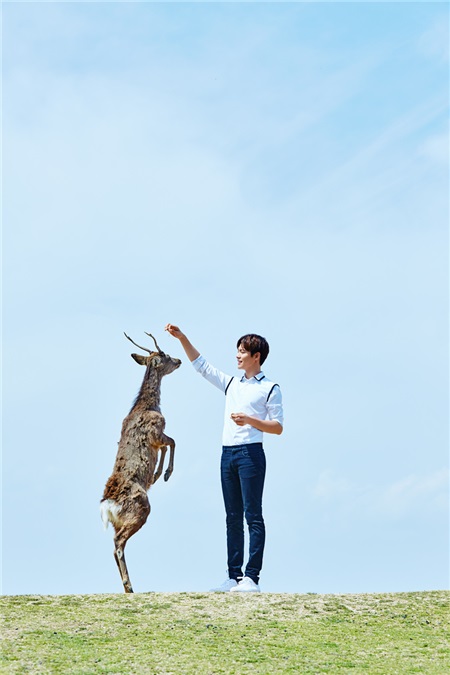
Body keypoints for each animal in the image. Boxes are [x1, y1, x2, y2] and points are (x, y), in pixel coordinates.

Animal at [100, 331, 181, 593]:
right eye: (165, 354)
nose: (179, 360)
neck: (149, 406)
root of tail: (108, 506)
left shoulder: (156, 437)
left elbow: (167, 445)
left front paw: (157, 474)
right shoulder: (156, 430)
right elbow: (173, 442)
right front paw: (163, 474)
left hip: (120, 520)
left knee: (115, 547)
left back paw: (127, 587)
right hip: (140, 510)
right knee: (118, 543)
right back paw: (130, 586)